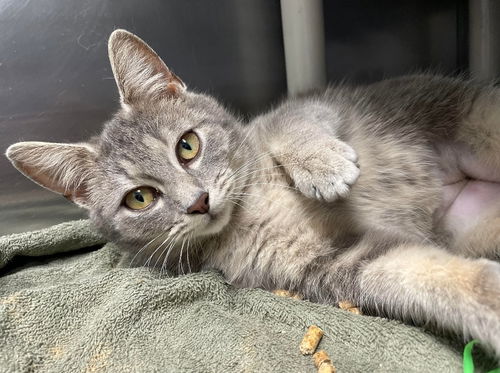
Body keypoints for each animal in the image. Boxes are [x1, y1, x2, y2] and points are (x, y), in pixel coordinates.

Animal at [4, 29, 500, 358]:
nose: (198, 202)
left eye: (188, 145)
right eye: (139, 198)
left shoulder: (301, 109)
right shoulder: (332, 266)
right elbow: (418, 275)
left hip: (467, 114)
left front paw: (323, 165)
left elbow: (292, 125)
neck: (248, 208)